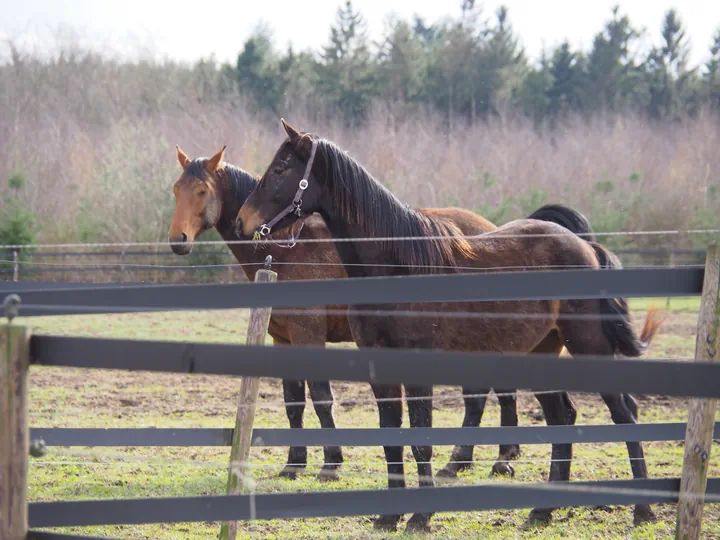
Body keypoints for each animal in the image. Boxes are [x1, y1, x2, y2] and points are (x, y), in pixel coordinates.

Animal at [169, 146, 596, 484]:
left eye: (202, 191)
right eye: (176, 190)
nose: (178, 241)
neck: (288, 248)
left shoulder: (310, 336)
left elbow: (321, 398)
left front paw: (331, 463)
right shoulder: (283, 338)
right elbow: (293, 402)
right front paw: (295, 463)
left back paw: (481, 458)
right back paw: (494, 456)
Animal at [238, 120, 664, 532]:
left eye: (281, 169)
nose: (244, 221)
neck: (397, 265)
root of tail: (586, 247)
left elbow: (421, 440)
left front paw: (420, 518)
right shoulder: (379, 366)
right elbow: (392, 437)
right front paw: (389, 517)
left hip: (588, 345)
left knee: (624, 413)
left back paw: (642, 512)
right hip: (543, 352)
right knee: (563, 418)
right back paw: (541, 512)